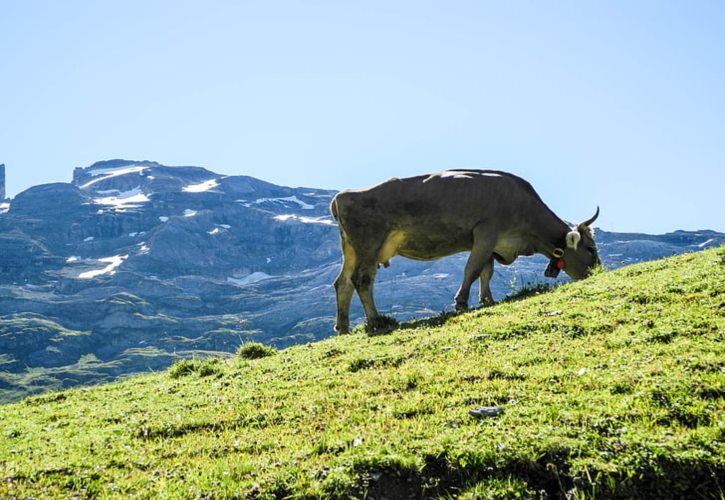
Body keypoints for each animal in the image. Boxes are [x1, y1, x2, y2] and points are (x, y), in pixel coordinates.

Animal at [330, 170, 600, 334]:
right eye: (590, 248)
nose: (598, 271)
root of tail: (343, 195)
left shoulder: (490, 243)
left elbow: (486, 272)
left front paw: (487, 300)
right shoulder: (486, 232)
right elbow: (472, 269)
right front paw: (461, 301)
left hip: (351, 250)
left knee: (343, 284)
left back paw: (343, 327)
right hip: (369, 245)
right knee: (362, 280)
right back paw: (376, 321)